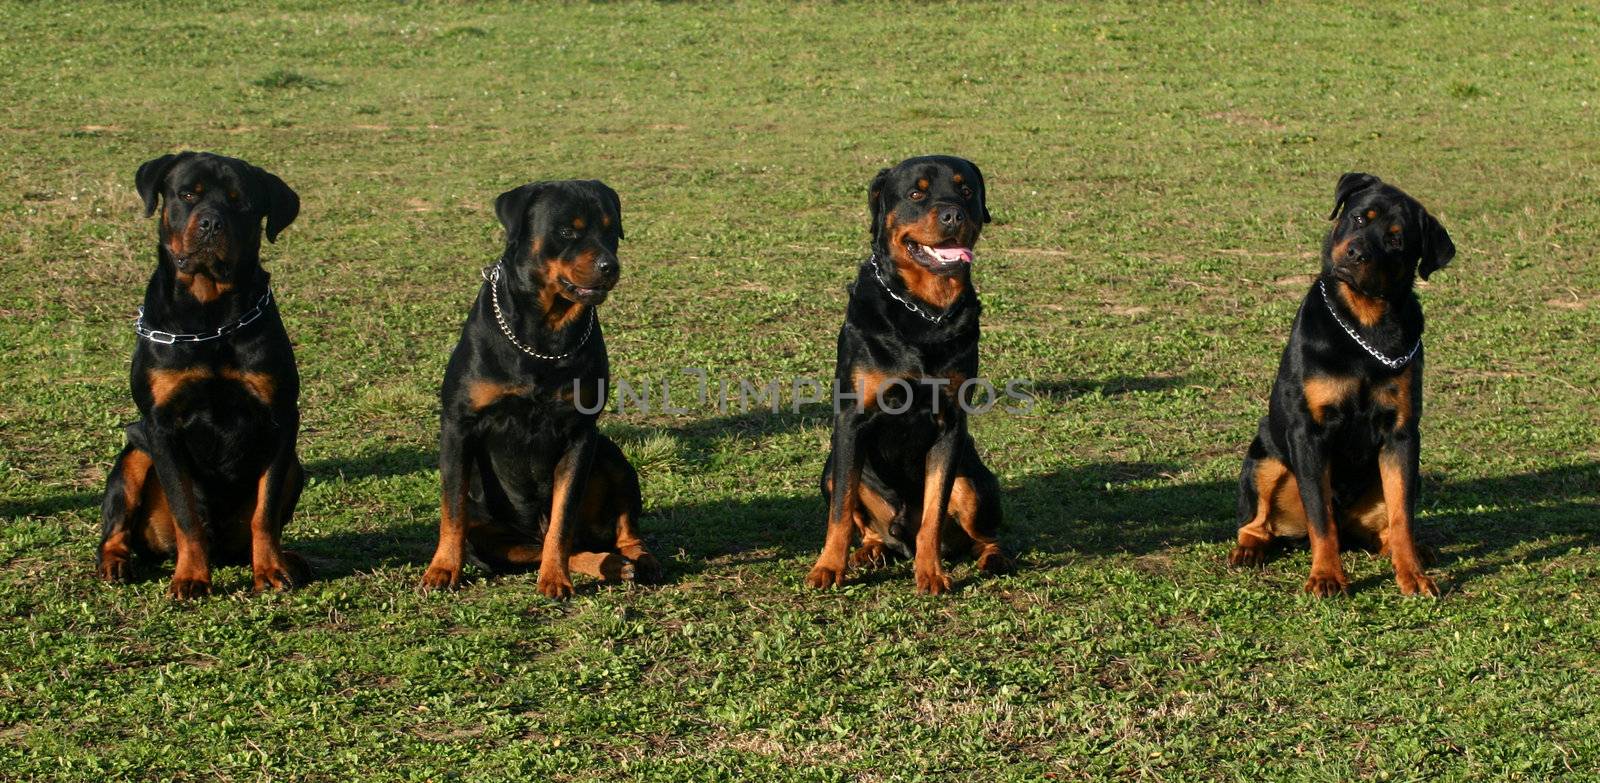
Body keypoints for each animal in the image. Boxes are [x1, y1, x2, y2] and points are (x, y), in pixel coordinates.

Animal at [97, 149, 305, 595]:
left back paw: (289, 560)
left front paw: (270, 570)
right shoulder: (161, 427)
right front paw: (191, 577)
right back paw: (114, 562)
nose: (211, 223)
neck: (211, 319)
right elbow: (185, 513)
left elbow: (265, 513)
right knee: (116, 527)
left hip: (297, 466)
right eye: (187, 194)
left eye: (240, 202)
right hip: (135, 453)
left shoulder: (280, 420)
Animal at [422, 178, 659, 598]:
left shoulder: (580, 434)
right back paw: (613, 565)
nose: (609, 266)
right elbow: (452, 509)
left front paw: (555, 577)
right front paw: (443, 568)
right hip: (491, 537)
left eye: (610, 230)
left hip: (610, 452)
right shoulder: (458, 425)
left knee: (607, 531)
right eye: (566, 231)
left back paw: (634, 560)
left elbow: (562, 520)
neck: (545, 334)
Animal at [806, 154, 1004, 592]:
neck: (925, 313)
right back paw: (868, 552)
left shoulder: (951, 423)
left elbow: (934, 511)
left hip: (973, 483)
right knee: (862, 518)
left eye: (966, 190)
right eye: (916, 193)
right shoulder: (852, 419)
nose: (953, 213)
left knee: (985, 534)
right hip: (830, 470)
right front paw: (828, 567)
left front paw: (931, 573)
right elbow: (840, 511)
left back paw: (994, 559)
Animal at [1228, 173, 1459, 595]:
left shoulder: (1402, 434)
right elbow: (1321, 518)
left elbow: (1402, 516)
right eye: (1359, 217)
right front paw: (1326, 576)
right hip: (1264, 460)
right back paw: (1248, 550)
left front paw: (1413, 574)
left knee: (1385, 526)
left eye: (1397, 239)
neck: (1365, 324)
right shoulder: (1309, 431)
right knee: (1258, 522)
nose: (1356, 253)